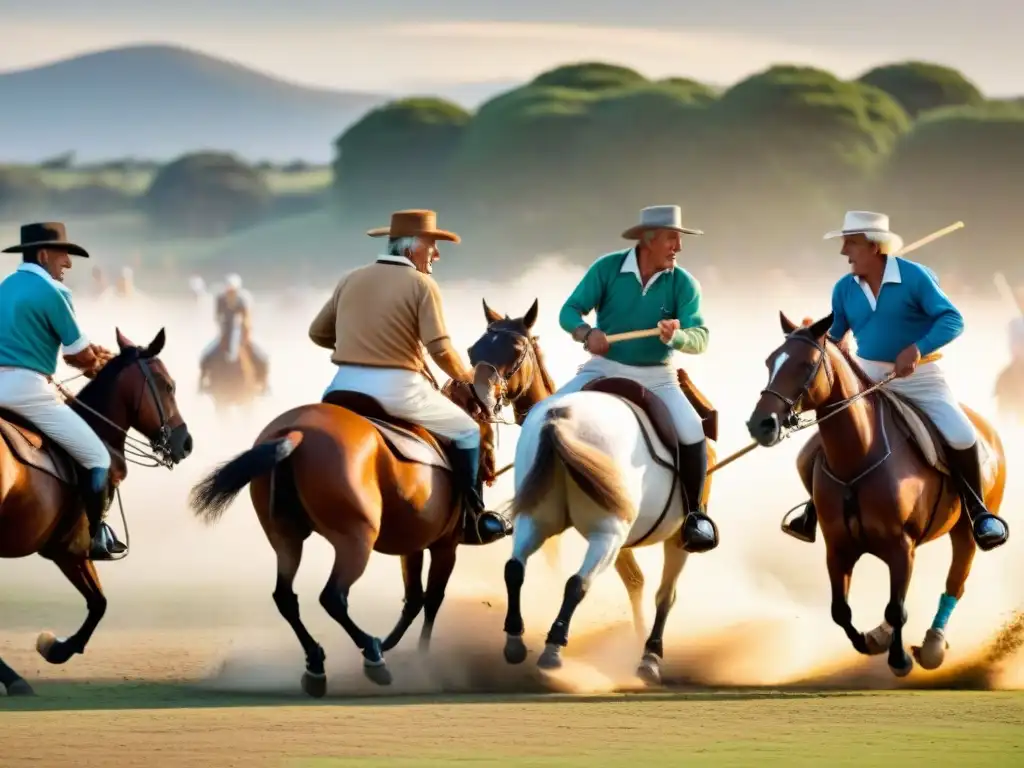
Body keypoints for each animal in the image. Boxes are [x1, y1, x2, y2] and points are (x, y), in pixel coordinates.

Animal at [0, 331, 192, 696]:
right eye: (168, 385)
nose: (185, 443)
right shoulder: (70, 548)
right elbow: (100, 604)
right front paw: (56, 648)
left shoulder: (65, 551)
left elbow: (98, 602)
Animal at [190, 354, 501, 696]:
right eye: (486, 423)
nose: (490, 469)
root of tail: (296, 431)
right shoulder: (444, 546)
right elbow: (431, 600)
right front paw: (420, 658)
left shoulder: (413, 544)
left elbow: (414, 598)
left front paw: (398, 647)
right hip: (356, 539)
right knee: (333, 597)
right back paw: (372, 654)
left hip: (285, 538)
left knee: (286, 597)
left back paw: (317, 663)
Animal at [745, 313, 1007, 679]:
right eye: (770, 361)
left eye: (805, 364)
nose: (761, 424)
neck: (859, 454)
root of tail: (988, 430)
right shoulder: (838, 548)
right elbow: (841, 610)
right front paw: (870, 642)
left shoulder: (900, 547)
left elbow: (897, 609)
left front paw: (900, 660)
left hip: (966, 532)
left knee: (956, 581)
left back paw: (932, 646)